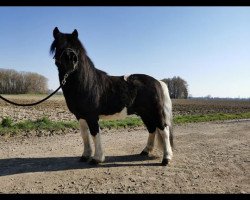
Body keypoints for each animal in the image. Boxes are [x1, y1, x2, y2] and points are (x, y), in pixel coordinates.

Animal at [49, 27, 173, 166]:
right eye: (58, 45)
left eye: (75, 46)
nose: (70, 58)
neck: (86, 84)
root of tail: (158, 82)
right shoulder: (80, 116)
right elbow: (85, 135)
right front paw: (85, 156)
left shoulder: (92, 116)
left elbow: (94, 134)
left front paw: (97, 158)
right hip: (145, 114)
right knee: (152, 129)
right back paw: (145, 151)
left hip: (155, 112)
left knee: (164, 130)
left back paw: (166, 158)